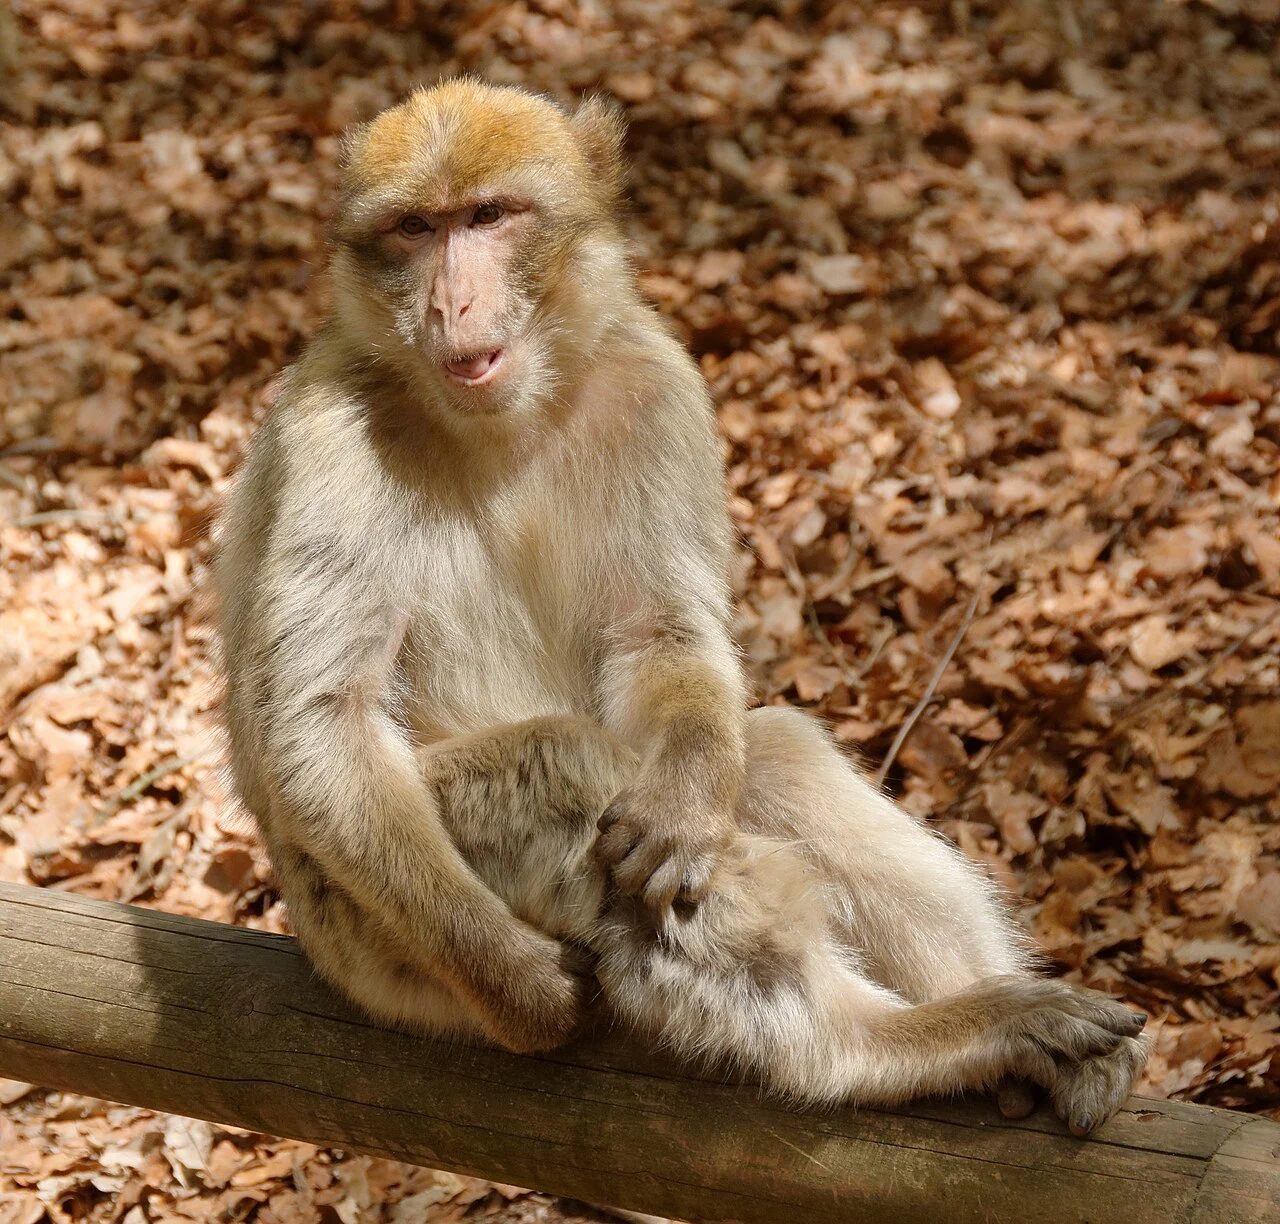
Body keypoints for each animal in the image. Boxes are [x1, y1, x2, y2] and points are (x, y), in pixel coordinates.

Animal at [216, 79, 1148, 1134]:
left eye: (487, 216)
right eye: (416, 228)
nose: (451, 300)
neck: (501, 419)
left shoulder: (656, 386)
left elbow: (661, 634)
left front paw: (685, 805)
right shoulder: (331, 430)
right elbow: (324, 724)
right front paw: (519, 987)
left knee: (771, 755)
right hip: (376, 948)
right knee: (559, 766)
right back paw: (889, 1048)